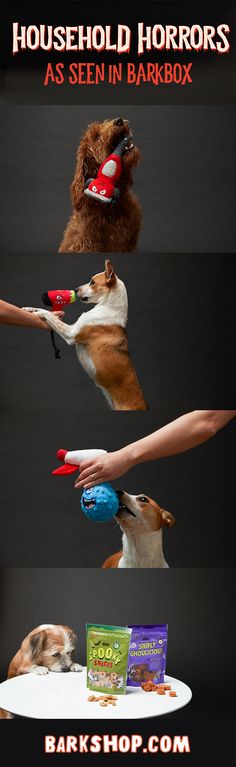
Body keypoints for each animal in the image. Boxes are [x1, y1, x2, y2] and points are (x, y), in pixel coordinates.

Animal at [22, 260, 148, 412]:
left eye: (92, 282)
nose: (76, 289)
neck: (109, 307)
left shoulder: (70, 333)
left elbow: (48, 314)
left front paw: (38, 313)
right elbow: (46, 312)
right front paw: (28, 309)